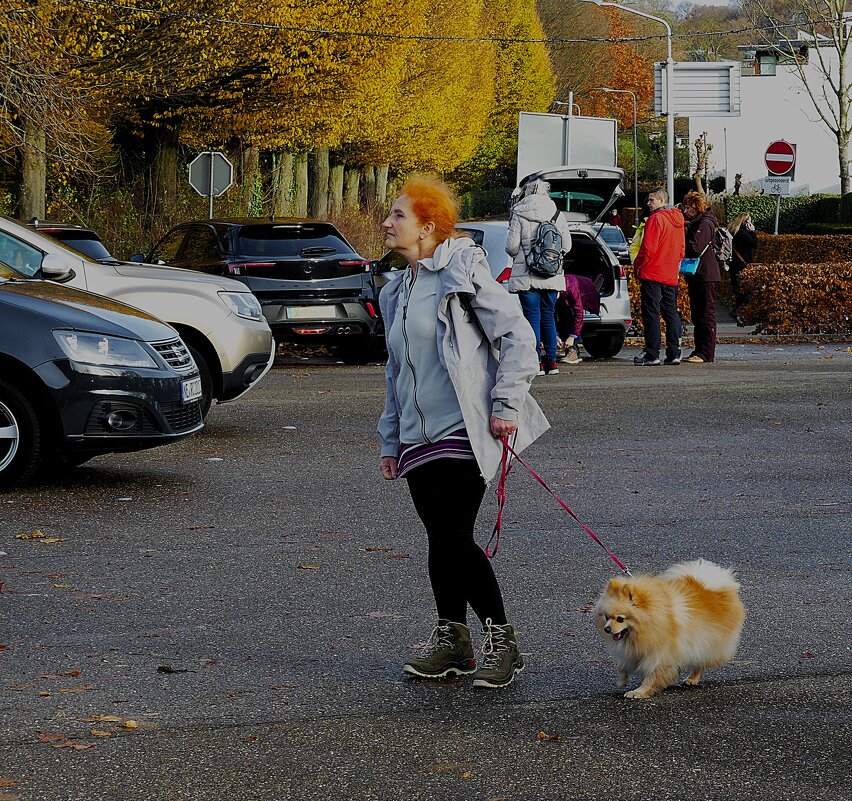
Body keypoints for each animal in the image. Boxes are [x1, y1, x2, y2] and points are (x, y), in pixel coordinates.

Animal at [592, 560, 744, 696]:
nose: (607, 629)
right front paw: (621, 680)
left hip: (706, 642)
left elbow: (652, 675)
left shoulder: (660, 654)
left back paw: (692, 679)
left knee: (700, 662)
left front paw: (639, 692)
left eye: (620, 619)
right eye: (606, 617)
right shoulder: (634, 651)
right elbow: (622, 665)